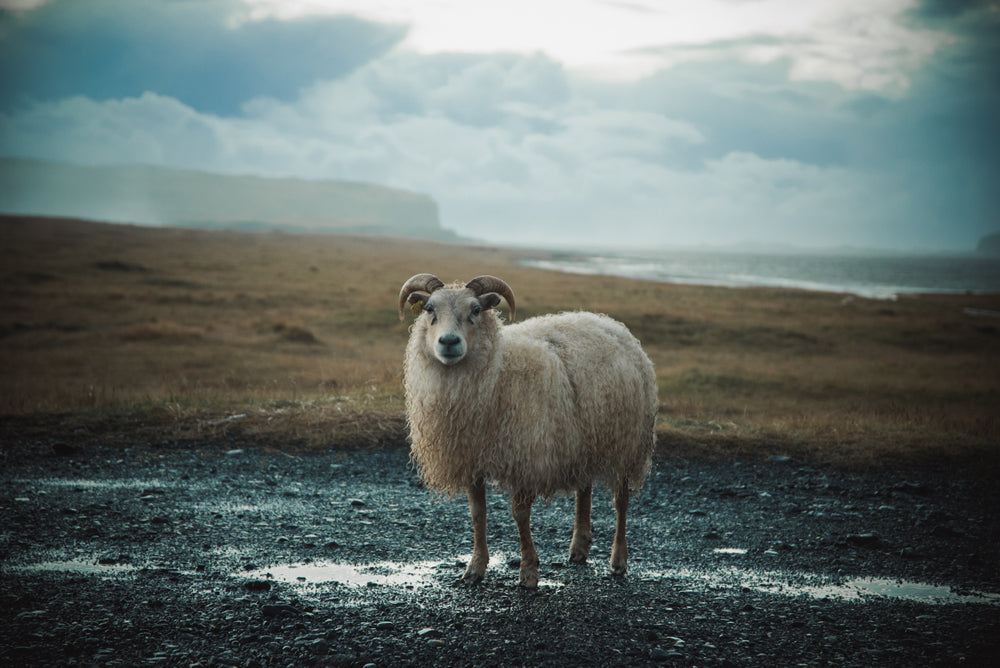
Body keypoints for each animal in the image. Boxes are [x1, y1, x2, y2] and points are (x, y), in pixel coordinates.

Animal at [398, 273, 657, 588]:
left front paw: (529, 572)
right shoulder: (472, 456)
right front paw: (475, 567)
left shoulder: (526, 457)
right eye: (429, 309)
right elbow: (477, 514)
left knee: (621, 501)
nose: (448, 341)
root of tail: (610, 324)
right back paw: (579, 547)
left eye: (476, 310)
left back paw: (618, 560)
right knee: (584, 490)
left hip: (627, 441)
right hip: (584, 439)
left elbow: (520, 515)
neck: (499, 369)